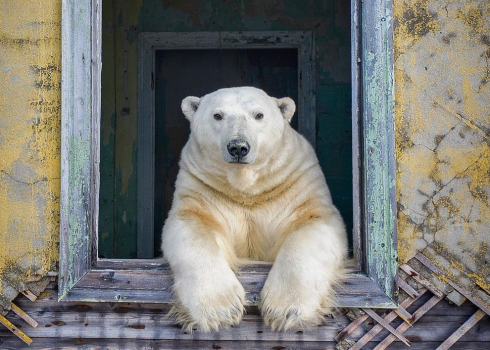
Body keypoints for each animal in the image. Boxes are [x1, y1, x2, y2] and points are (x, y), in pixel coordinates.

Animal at [163, 87, 346, 330]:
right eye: (217, 115)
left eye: (259, 115)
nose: (238, 147)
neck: (248, 190)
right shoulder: (202, 188)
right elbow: (192, 226)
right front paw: (221, 309)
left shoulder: (296, 183)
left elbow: (312, 224)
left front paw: (285, 309)